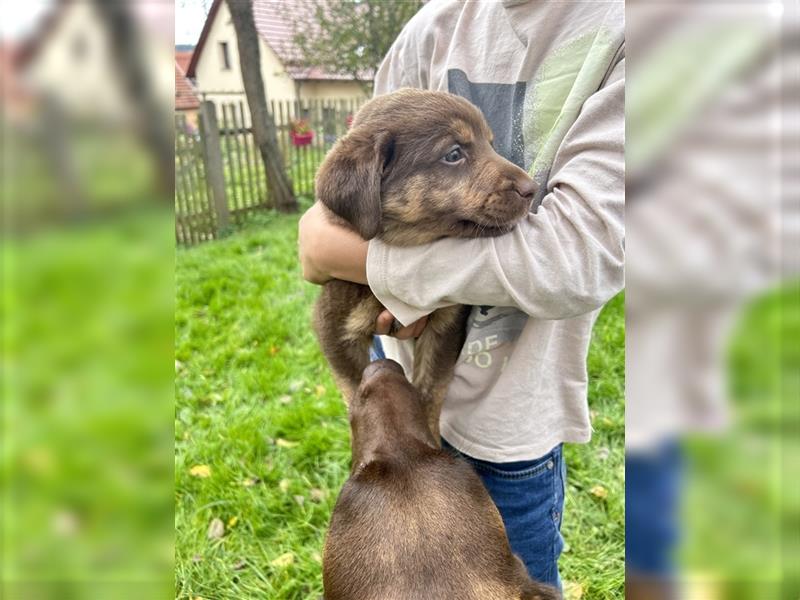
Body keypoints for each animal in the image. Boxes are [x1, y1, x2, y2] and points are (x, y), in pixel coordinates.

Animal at [316, 89, 536, 436]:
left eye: (490, 144)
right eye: (454, 154)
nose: (533, 189)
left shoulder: (446, 325)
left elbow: (430, 392)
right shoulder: (333, 328)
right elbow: (356, 395)